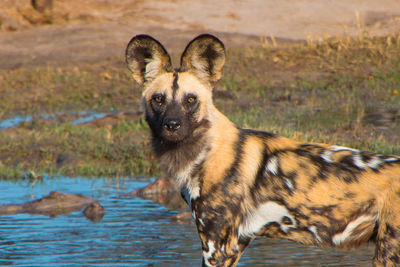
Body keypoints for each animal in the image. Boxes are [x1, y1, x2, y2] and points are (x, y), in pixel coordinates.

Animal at [126, 34, 400, 267]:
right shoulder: (237, 241)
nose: (172, 125)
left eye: (190, 100)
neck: (205, 152)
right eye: (158, 99)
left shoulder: (218, 247)